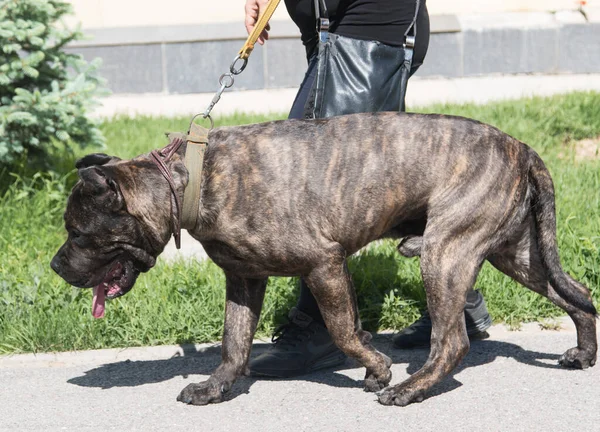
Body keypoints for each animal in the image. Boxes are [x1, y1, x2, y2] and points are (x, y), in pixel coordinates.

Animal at [50, 110, 596, 404]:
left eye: (77, 233)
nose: (55, 266)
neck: (190, 180)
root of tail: (521, 146)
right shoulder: (244, 279)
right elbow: (233, 343)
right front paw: (215, 388)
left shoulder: (324, 265)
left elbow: (343, 331)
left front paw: (377, 368)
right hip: (518, 254)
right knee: (578, 294)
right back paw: (584, 354)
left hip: (445, 252)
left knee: (452, 341)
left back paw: (411, 388)